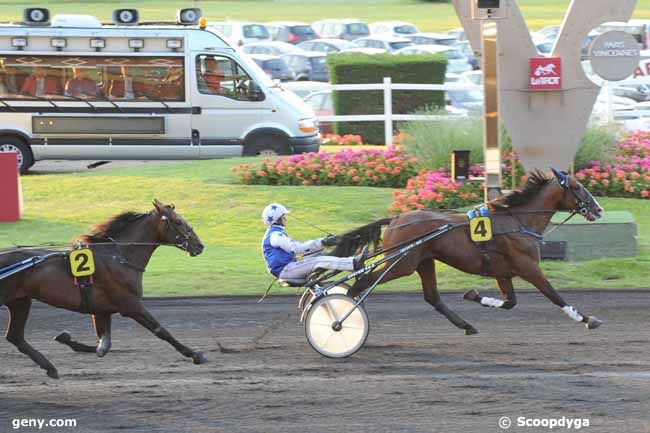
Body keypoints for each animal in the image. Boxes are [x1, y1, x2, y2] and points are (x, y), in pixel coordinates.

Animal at [0, 200, 206, 378]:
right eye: (178, 221)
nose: (200, 246)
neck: (118, 257)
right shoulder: (130, 305)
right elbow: (161, 330)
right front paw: (195, 354)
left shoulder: (101, 311)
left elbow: (103, 347)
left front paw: (66, 339)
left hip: (20, 301)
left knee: (15, 337)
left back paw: (50, 367)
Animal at [334, 169, 604, 334]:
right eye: (577, 186)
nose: (598, 209)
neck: (517, 222)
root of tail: (397, 218)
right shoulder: (529, 268)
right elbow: (554, 295)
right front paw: (587, 319)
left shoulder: (503, 273)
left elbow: (510, 303)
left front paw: (472, 294)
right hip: (402, 263)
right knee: (363, 281)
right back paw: (342, 316)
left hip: (424, 261)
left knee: (432, 297)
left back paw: (466, 325)